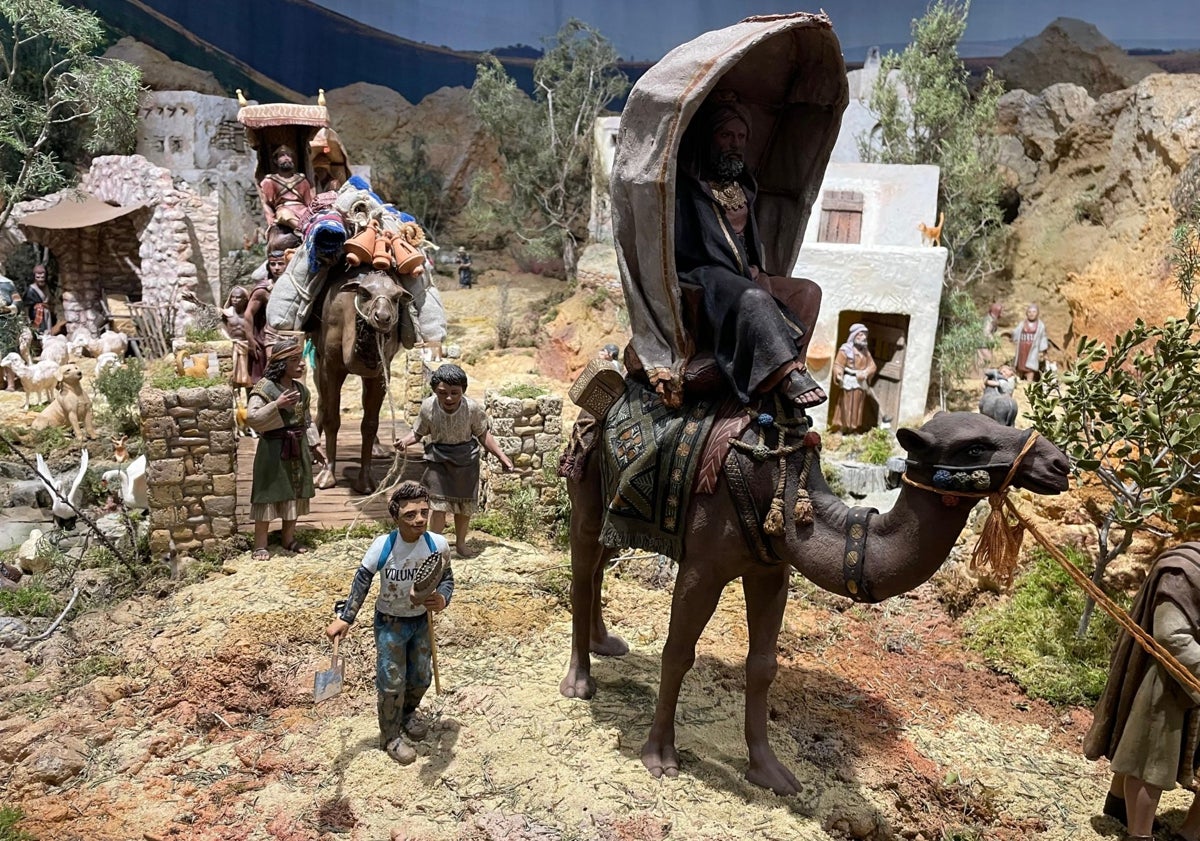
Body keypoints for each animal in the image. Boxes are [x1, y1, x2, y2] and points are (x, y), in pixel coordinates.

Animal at [312, 263, 410, 491]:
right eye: (364, 293)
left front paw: (365, 481)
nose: (382, 317)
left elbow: (370, 424)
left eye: (396, 297)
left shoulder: (381, 370)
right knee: (321, 401)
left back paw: (378, 450)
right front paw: (326, 476)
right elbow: (332, 418)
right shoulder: (330, 364)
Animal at [559, 412, 1070, 791]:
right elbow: (678, 653)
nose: (1058, 464)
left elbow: (763, 666)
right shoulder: (703, 567)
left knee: (602, 561)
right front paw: (659, 756)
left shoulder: (770, 568)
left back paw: (605, 642)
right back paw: (579, 681)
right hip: (586, 490)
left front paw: (769, 772)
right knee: (582, 572)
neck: (780, 487)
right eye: (975, 447)